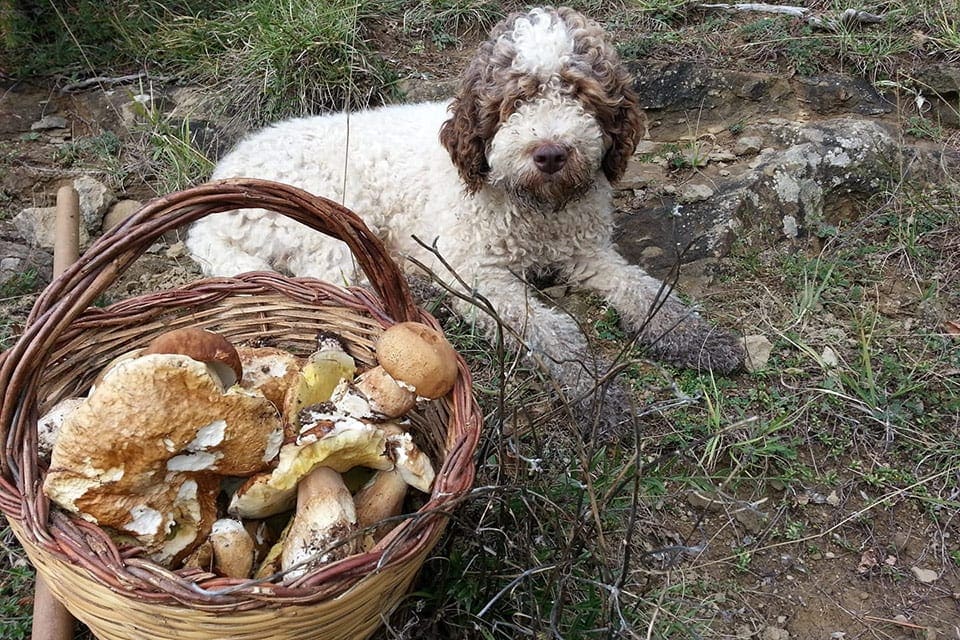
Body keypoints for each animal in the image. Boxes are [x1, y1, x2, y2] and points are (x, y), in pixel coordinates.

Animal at [186, 5, 744, 432]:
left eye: (579, 92)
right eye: (517, 98)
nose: (550, 153)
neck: (536, 206)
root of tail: (215, 192)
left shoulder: (588, 250)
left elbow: (645, 291)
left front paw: (701, 340)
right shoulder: (477, 272)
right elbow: (553, 329)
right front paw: (595, 393)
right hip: (325, 216)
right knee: (333, 278)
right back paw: (421, 289)